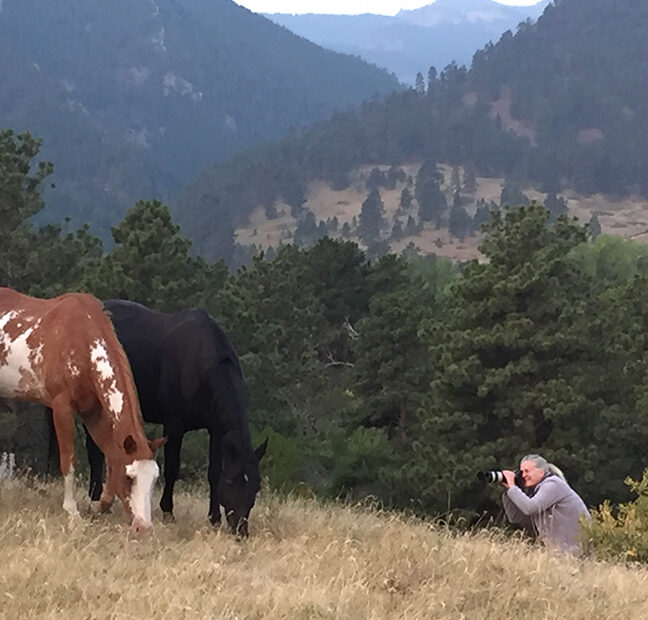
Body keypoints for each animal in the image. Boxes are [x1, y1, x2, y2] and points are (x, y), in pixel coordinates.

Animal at [0, 288, 165, 536]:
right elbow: (68, 459)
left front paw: (99, 506)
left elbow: (110, 455)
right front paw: (72, 512)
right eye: (129, 478)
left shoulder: (93, 413)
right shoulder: (62, 408)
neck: (79, 342)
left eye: (154, 479)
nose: (143, 527)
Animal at [84, 299, 266, 536]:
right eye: (230, 482)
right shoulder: (174, 425)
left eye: (256, 485)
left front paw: (214, 518)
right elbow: (172, 468)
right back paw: (95, 498)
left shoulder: (216, 430)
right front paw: (168, 512)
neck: (202, 364)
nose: (240, 531)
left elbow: (213, 472)